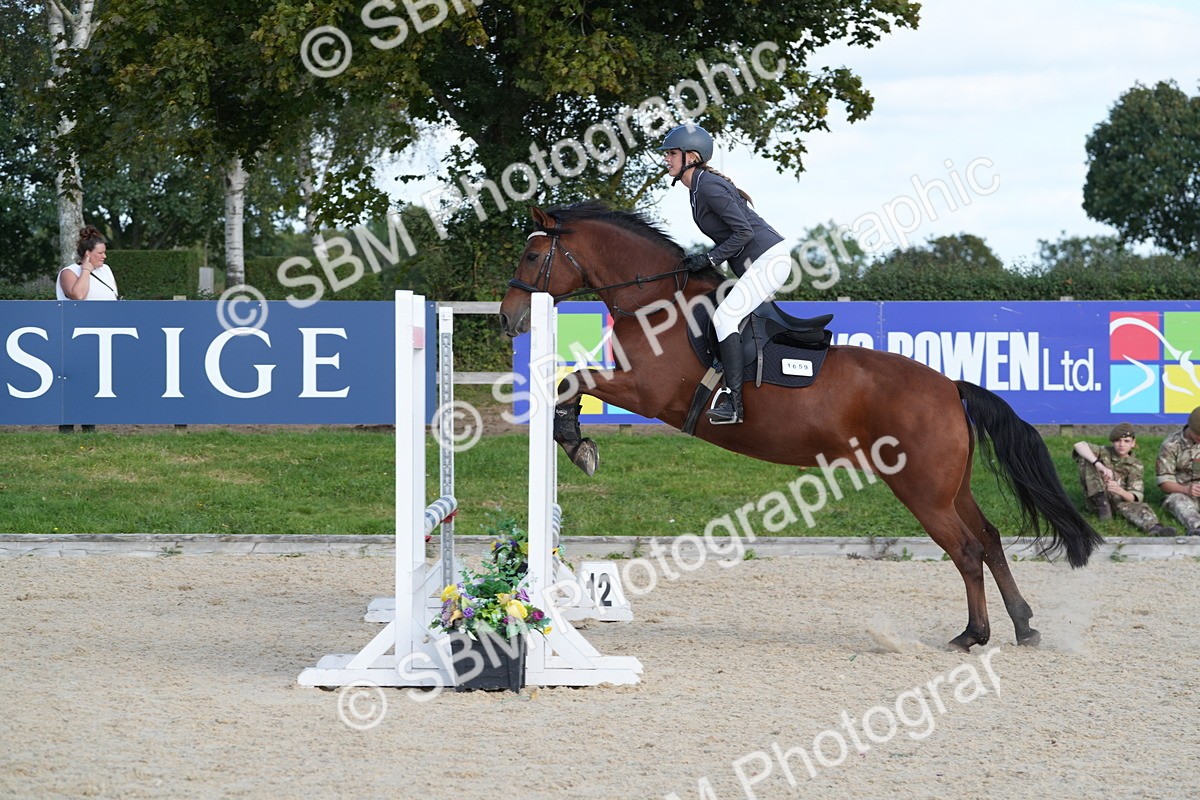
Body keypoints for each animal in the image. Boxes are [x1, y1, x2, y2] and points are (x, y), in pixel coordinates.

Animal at [498, 200, 1103, 651]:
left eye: (531, 254)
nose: (508, 318)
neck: (654, 300)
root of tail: (950, 387)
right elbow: (570, 382)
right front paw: (577, 441)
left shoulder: (646, 391)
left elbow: (571, 382)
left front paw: (575, 443)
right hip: (951, 488)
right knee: (992, 541)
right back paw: (1023, 626)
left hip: (922, 491)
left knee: (968, 551)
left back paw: (973, 635)